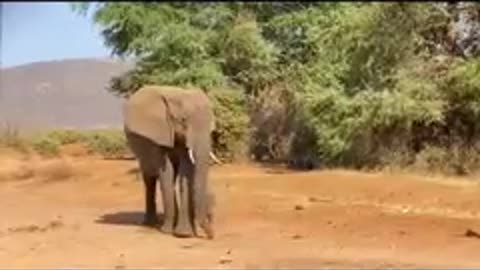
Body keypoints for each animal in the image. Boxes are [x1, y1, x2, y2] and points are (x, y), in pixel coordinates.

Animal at [124, 85, 221, 238]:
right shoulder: (159, 133)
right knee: (150, 177)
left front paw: (184, 234)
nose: (211, 236)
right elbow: (166, 172)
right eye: (184, 121)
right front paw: (170, 232)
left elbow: (185, 171)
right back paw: (150, 224)